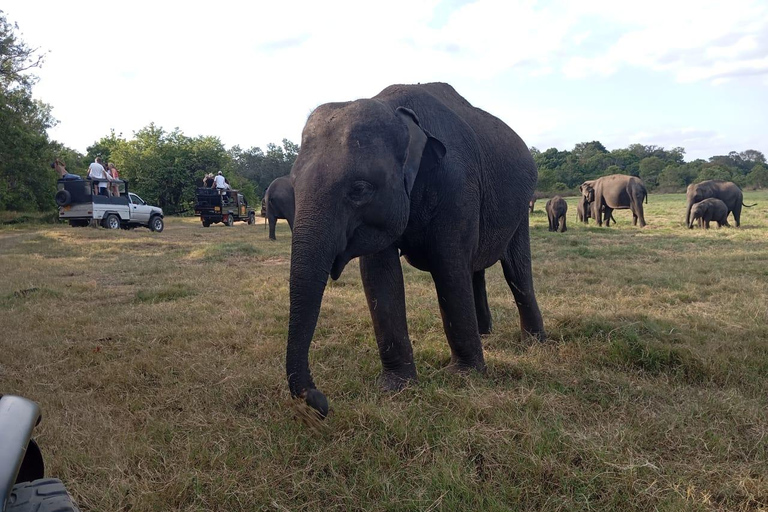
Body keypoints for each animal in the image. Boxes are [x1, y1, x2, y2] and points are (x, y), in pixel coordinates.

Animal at [284, 81, 544, 416]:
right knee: (476, 268)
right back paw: (485, 333)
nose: (320, 401)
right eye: (293, 186)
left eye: (359, 189)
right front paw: (395, 386)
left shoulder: (458, 185)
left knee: (516, 269)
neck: (397, 112)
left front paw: (464, 376)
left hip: (520, 207)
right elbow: (379, 276)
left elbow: (448, 265)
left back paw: (534, 343)